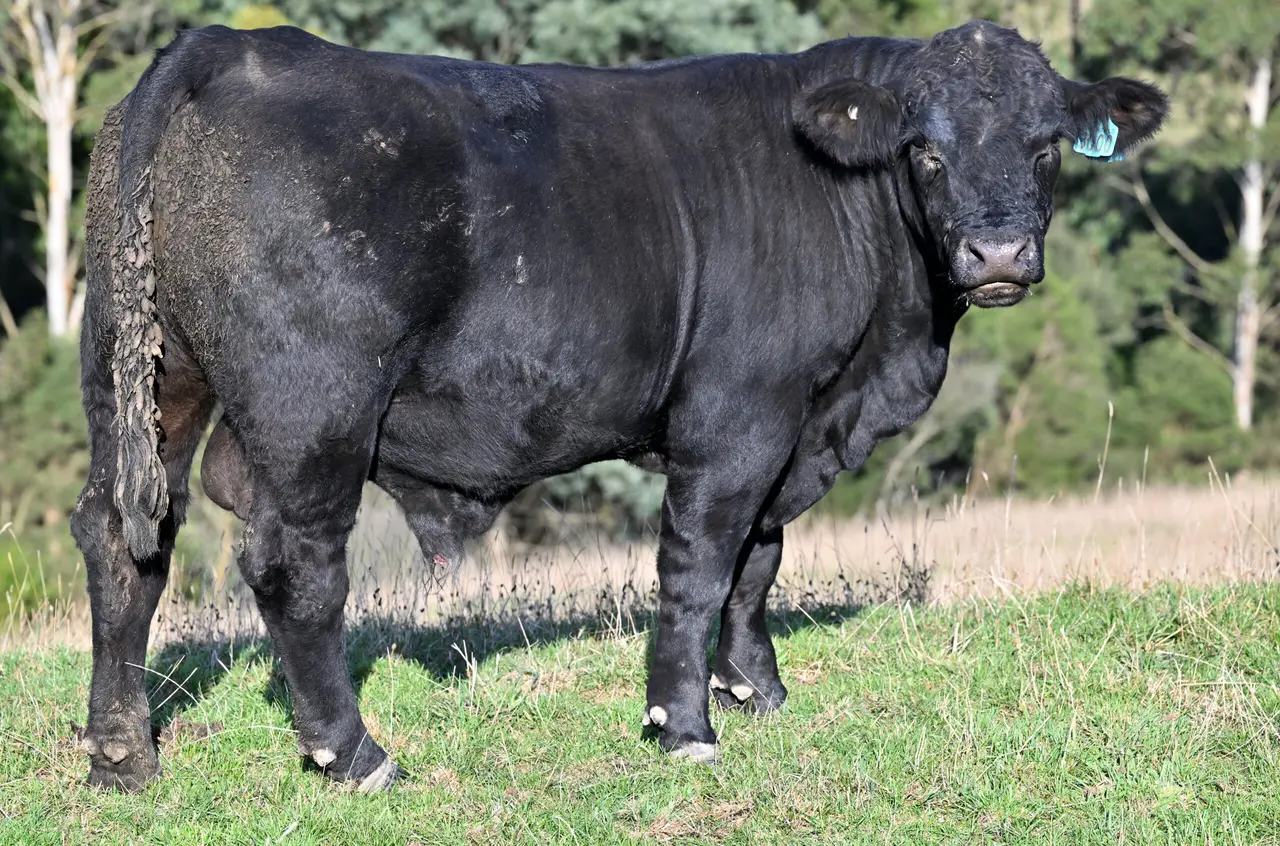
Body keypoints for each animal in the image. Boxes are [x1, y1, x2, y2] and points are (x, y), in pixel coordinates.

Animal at [71, 20, 1168, 791]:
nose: (997, 253)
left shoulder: (788, 429)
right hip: (315, 411)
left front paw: (756, 688)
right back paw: (356, 756)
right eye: (926, 150)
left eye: (1046, 145)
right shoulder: (740, 414)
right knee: (291, 566)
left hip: (147, 379)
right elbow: (702, 563)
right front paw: (683, 726)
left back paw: (124, 756)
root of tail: (234, 45)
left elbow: (760, 562)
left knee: (125, 542)